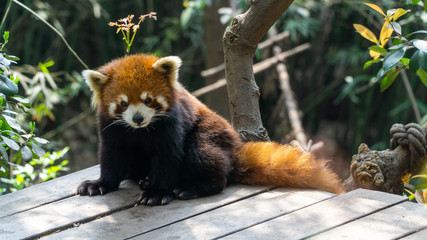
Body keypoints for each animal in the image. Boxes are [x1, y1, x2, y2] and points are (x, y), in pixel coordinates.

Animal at [76, 53, 344, 205]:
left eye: (148, 99)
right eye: (123, 103)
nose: (138, 118)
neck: (141, 130)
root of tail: (236, 151)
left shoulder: (172, 124)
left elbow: (168, 157)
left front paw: (157, 192)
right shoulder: (111, 128)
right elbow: (112, 157)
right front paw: (100, 184)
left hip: (210, 135)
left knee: (205, 157)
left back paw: (191, 188)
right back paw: (145, 178)